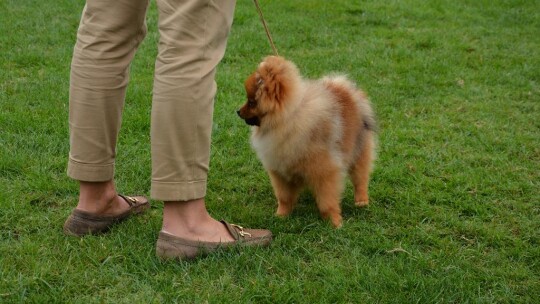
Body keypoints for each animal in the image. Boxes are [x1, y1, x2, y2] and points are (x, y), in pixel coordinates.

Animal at [236, 56, 376, 228]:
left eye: (251, 102)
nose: (238, 111)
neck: (288, 121)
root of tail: (346, 91)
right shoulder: (279, 171)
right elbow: (284, 197)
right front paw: (281, 215)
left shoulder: (325, 172)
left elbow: (327, 201)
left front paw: (334, 222)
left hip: (359, 151)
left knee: (360, 178)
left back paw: (361, 201)